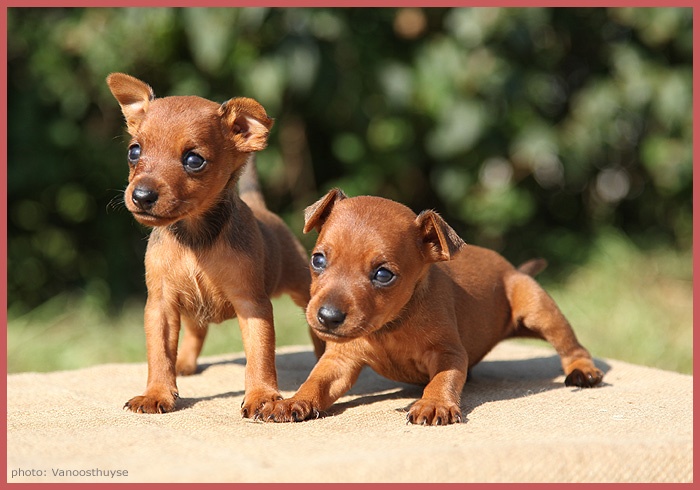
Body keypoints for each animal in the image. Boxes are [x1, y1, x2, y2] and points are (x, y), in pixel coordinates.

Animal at [107, 73, 322, 418]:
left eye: (194, 160)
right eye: (134, 152)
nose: (141, 196)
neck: (195, 239)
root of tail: (260, 207)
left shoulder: (252, 306)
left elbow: (260, 356)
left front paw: (262, 395)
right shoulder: (161, 306)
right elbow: (159, 355)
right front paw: (156, 393)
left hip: (303, 288)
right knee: (196, 329)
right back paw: (184, 362)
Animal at [258, 189, 600, 424]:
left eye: (383, 274)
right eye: (318, 260)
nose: (328, 317)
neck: (390, 326)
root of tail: (511, 267)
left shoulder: (449, 353)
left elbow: (442, 378)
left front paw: (434, 403)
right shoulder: (340, 359)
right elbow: (316, 381)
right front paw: (293, 401)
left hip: (538, 307)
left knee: (571, 345)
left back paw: (583, 371)